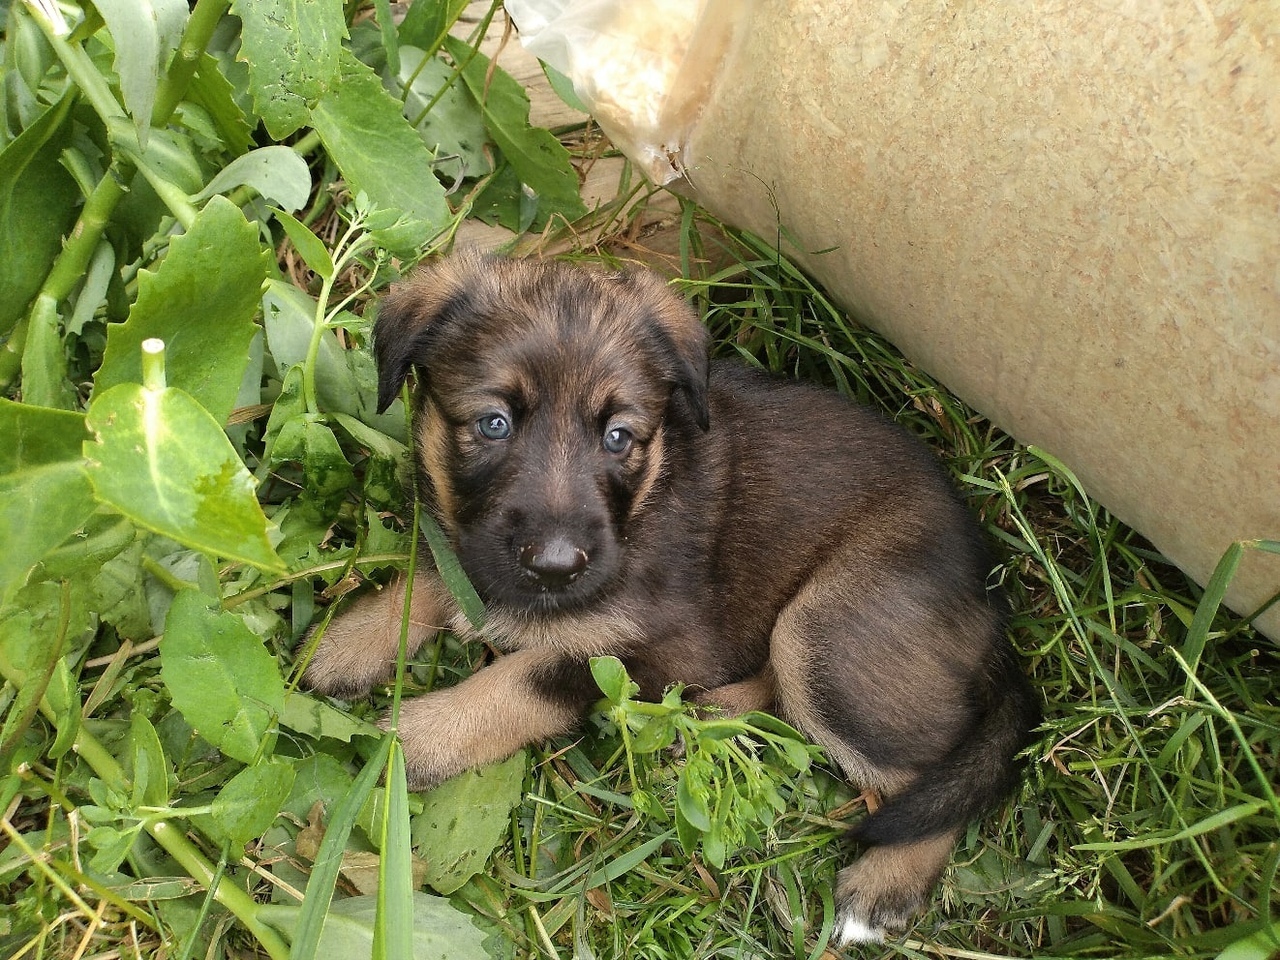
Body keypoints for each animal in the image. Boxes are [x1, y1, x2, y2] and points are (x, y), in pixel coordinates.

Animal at [302, 252, 1039, 942]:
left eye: (618, 436)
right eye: (493, 424)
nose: (557, 566)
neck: (648, 497)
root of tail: (992, 601)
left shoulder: (659, 645)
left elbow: (524, 680)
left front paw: (420, 736)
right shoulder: (468, 546)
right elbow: (432, 572)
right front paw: (346, 642)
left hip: (826, 628)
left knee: (935, 778)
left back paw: (884, 886)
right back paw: (714, 716)